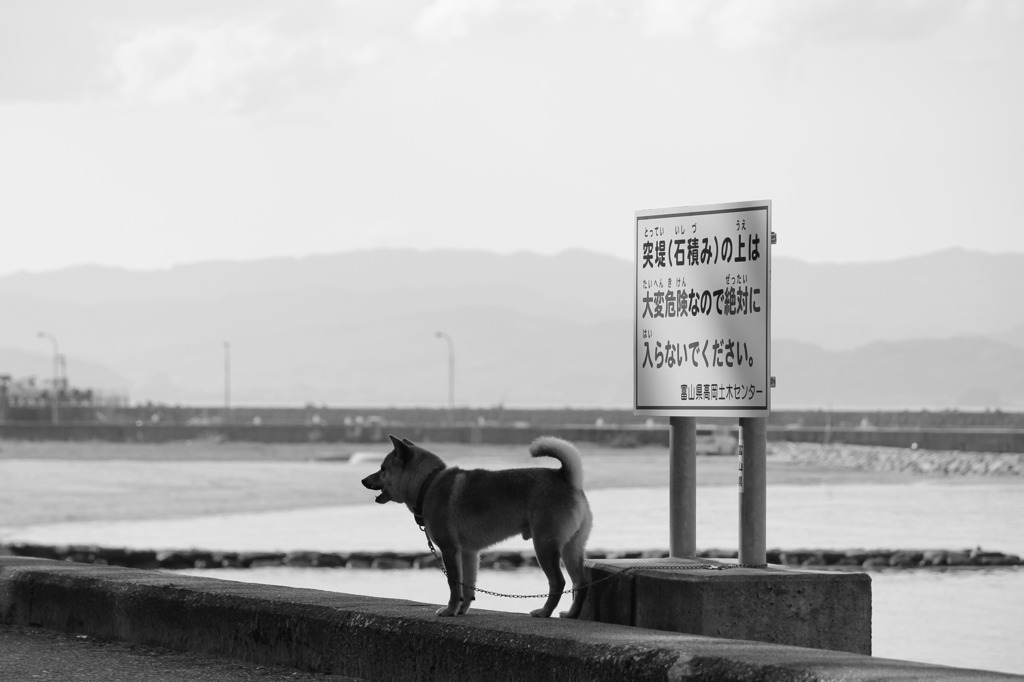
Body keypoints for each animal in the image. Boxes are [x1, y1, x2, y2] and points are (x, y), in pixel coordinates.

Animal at [362, 436, 593, 614]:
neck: (428, 484)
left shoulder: (449, 549)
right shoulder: (469, 553)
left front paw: (449, 610)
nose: (364, 480)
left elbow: (454, 584)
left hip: (544, 546)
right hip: (571, 548)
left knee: (558, 582)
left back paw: (544, 612)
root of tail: (566, 477)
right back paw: (571, 614)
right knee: (580, 583)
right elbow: (468, 587)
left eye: (382, 469)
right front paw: (461, 611)